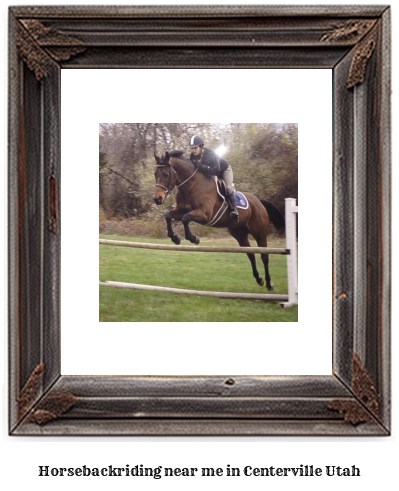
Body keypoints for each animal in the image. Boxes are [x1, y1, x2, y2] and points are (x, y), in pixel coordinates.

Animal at [154, 152, 288, 290]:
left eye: (166, 174)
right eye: (155, 174)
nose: (157, 199)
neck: (192, 185)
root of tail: (259, 202)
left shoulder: (205, 215)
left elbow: (186, 218)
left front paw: (193, 238)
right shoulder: (181, 211)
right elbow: (168, 215)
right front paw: (175, 238)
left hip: (260, 233)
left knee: (264, 256)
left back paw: (269, 283)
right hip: (240, 234)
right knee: (250, 254)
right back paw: (259, 279)